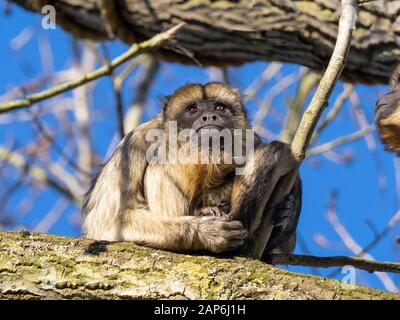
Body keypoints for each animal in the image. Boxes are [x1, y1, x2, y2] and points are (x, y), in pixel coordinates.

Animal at [82, 82, 300, 255]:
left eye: (220, 107)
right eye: (193, 109)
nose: (209, 116)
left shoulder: (251, 140)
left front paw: (286, 213)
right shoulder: (136, 142)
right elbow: (106, 221)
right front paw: (206, 231)